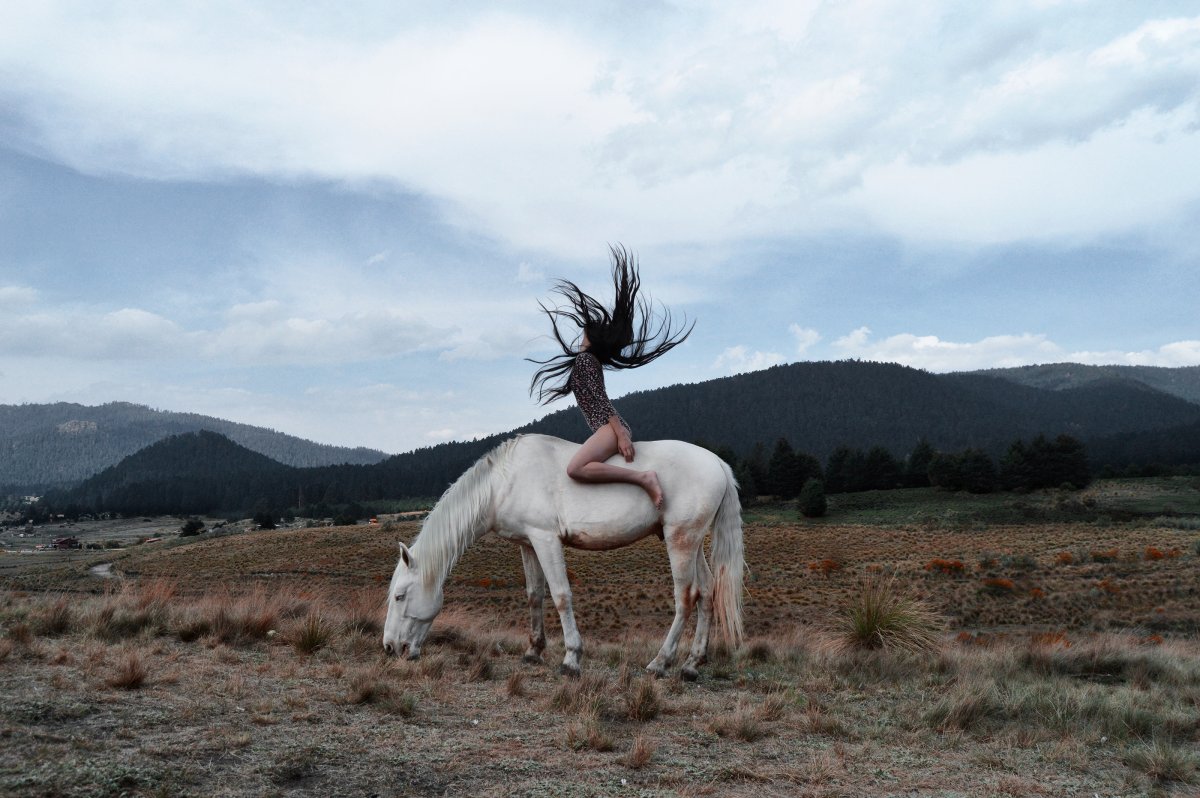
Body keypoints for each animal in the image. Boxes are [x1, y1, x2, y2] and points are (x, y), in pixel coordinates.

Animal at [382, 433, 744, 679]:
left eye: (399, 596)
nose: (389, 648)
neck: (504, 482)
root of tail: (718, 464)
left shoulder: (546, 539)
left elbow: (560, 596)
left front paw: (571, 659)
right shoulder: (528, 543)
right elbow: (534, 595)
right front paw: (533, 651)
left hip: (680, 540)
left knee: (686, 597)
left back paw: (660, 662)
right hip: (692, 543)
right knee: (707, 592)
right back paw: (692, 664)